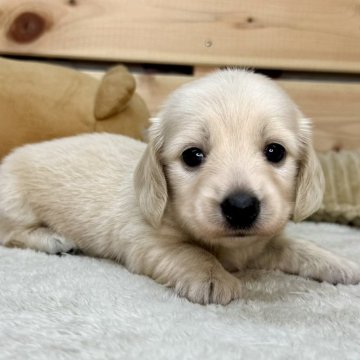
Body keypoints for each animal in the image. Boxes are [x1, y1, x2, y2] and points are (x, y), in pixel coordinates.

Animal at [0, 69, 360, 304]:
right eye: (192, 155)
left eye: (275, 151)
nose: (241, 207)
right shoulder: (147, 240)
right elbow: (191, 252)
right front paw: (212, 277)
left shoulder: (263, 242)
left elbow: (299, 246)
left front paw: (339, 263)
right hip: (16, 203)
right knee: (10, 233)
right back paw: (52, 238)